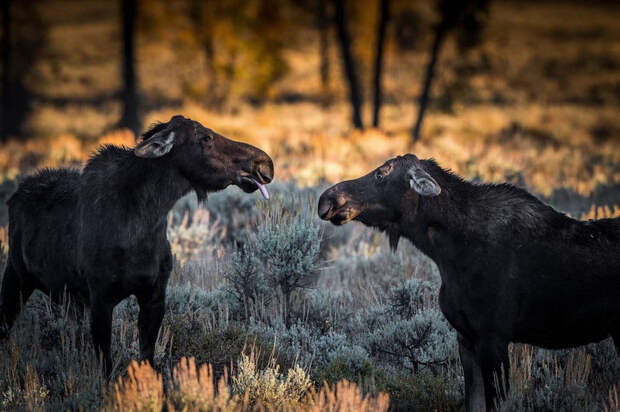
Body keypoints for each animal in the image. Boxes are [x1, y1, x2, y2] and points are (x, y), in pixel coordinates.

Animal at [1, 115, 274, 374]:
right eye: (205, 137)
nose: (264, 163)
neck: (145, 223)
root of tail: (14, 196)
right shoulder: (100, 298)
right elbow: (105, 366)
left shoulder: (154, 294)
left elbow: (147, 357)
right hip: (16, 275)